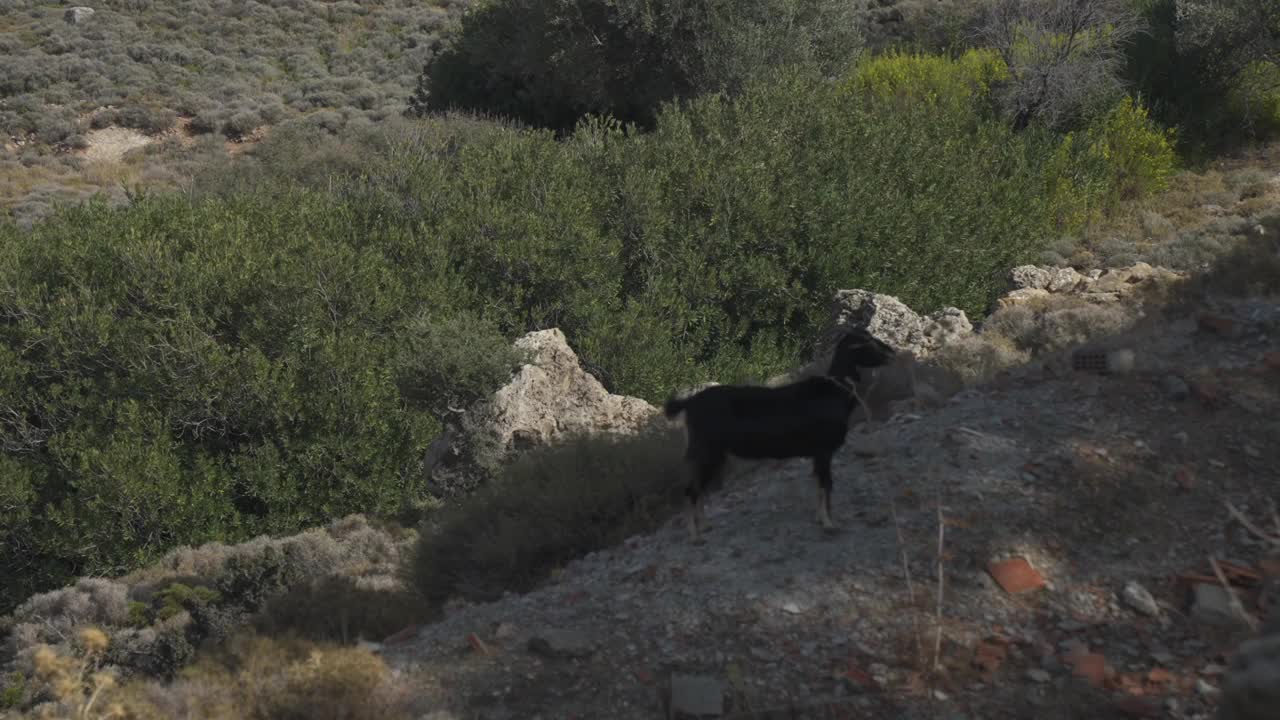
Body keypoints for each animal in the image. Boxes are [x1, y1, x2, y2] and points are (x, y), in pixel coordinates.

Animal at [665, 325, 896, 538]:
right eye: (867, 343)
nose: (891, 353)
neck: (835, 390)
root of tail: (689, 403)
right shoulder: (824, 450)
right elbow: (826, 485)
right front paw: (829, 523)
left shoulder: (818, 454)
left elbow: (819, 484)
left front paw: (820, 518)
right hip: (706, 450)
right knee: (691, 489)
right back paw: (694, 534)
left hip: (713, 454)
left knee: (699, 488)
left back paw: (704, 525)